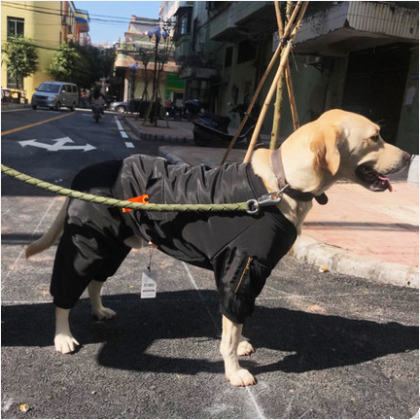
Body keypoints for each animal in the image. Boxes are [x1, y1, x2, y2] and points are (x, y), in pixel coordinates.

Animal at [24, 109, 408, 388]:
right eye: (375, 136)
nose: (408, 156)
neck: (281, 184)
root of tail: (82, 175)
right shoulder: (240, 268)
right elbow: (231, 328)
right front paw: (234, 369)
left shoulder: (248, 274)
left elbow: (235, 321)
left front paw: (239, 345)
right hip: (86, 244)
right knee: (65, 290)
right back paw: (62, 336)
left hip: (113, 245)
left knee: (95, 281)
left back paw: (99, 310)